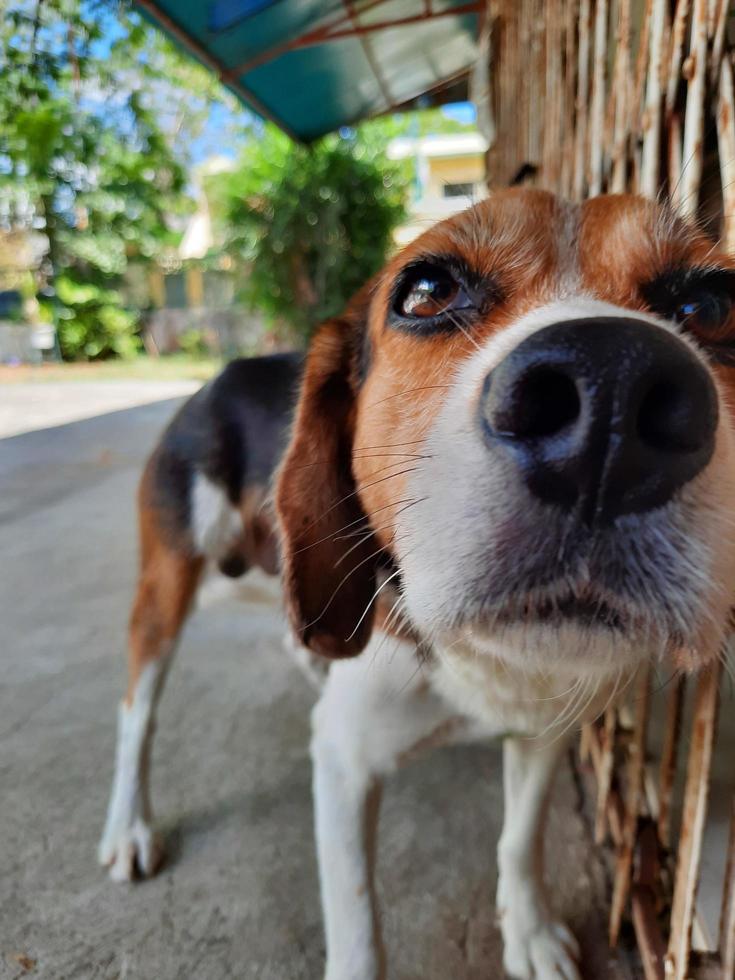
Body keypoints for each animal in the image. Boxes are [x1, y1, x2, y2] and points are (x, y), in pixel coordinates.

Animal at [99, 191, 735, 980]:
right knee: (138, 709)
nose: (610, 399)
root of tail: (222, 375)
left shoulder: (543, 729)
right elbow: (359, 930)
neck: (482, 662)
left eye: (712, 305)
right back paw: (129, 824)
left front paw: (528, 930)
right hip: (168, 583)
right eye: (427, 291)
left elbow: (520, 838)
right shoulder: (342, 764)